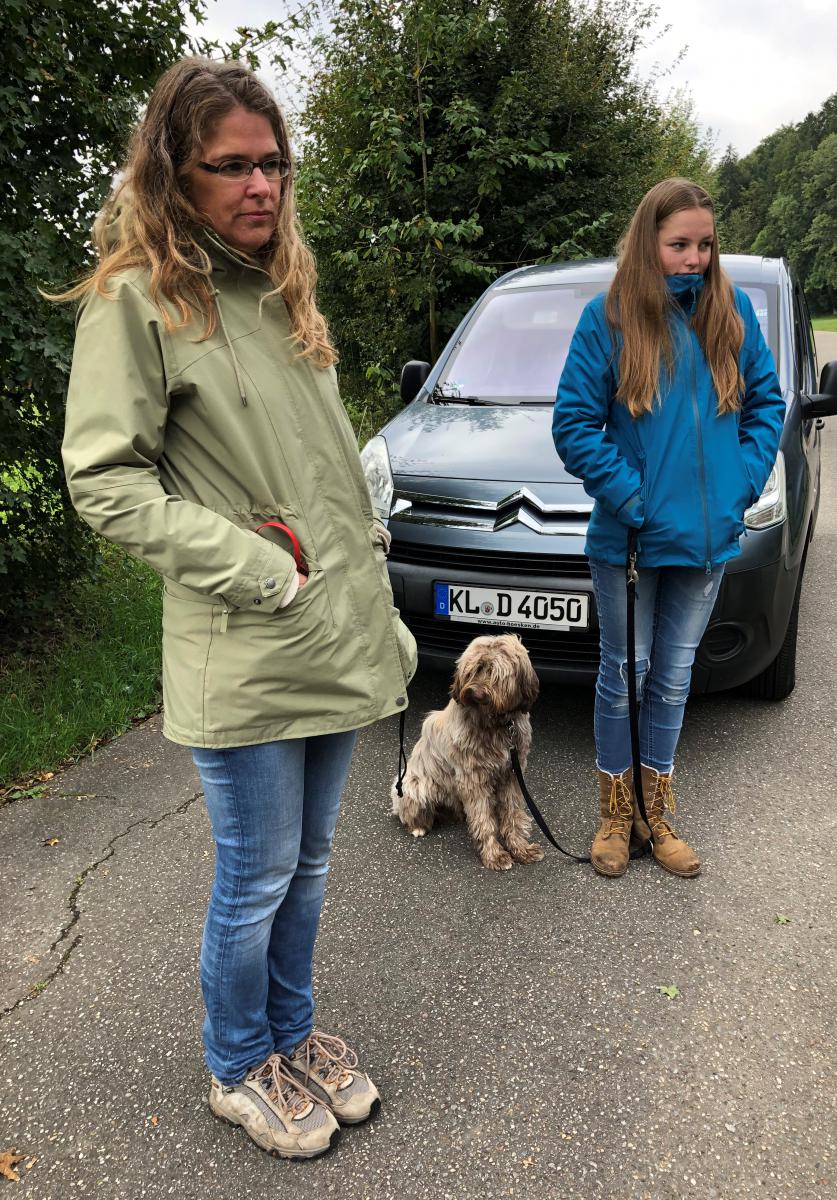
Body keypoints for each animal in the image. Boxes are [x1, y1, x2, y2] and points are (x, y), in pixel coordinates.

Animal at [391, 633, 544, 870]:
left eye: (495, 674)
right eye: (474, 670)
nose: (477, 694)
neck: (496, 725)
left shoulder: (512, 775)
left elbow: (513, 814)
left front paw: (520, 848)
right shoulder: (474, 779)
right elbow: (484, 820)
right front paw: (494, 855)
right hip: (415, 785)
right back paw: (418, 826)